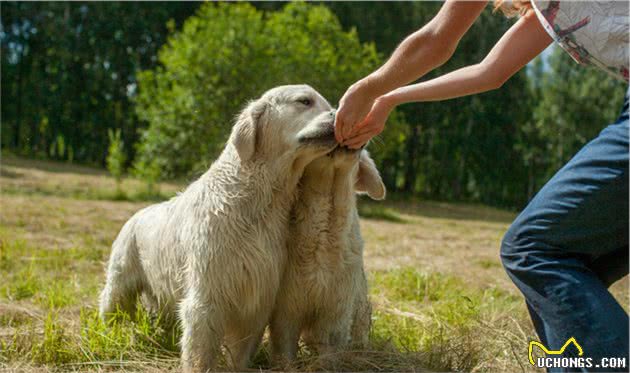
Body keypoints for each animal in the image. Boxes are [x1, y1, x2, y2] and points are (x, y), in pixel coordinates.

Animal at [100, 85, 340, 372]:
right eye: (304, 101)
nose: (339, 116)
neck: (256, 202)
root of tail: (136, 214)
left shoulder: (257, 297)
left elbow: (241, 351)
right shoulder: (207, 296)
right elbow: (199, 353)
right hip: (120, 282)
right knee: (110, 306)